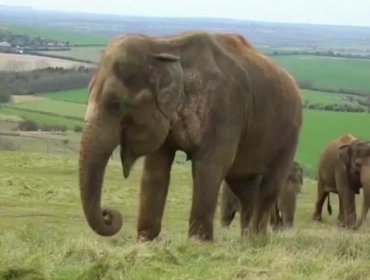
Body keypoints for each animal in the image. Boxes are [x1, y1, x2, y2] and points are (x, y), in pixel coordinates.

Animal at [79, 30, 302, 241]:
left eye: (116, 103)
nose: (109, 213)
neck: (162, 44)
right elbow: (155, 169)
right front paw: (146, 240)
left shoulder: (224, 111)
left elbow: (210, 167)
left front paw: (199, 242)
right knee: (245, 187)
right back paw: (247, 238)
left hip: (290, 136)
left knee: (270, 186)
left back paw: (256, 239)